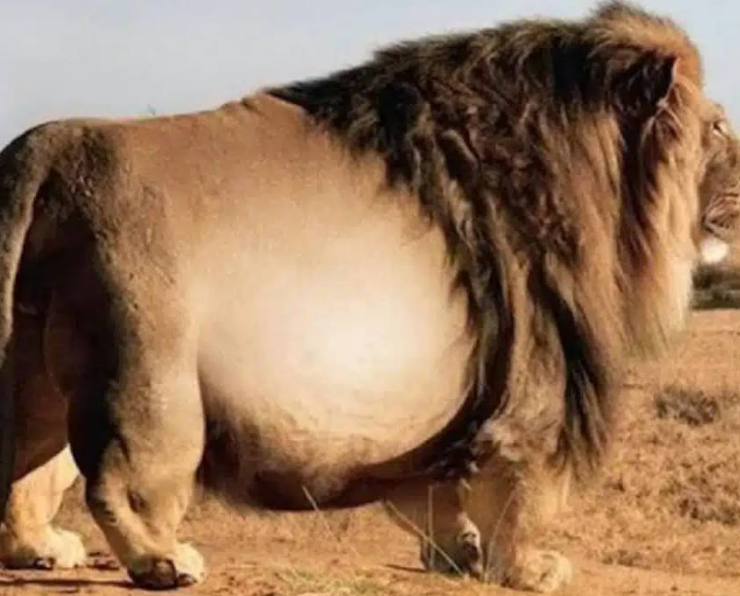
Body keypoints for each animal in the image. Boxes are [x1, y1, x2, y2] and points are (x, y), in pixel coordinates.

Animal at [1, 1, 739, 592]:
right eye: (718, 129)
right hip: (150, 371)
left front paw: (459, 553)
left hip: (34, 363)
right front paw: (528, 569)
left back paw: (41, 548)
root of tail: (43, 149)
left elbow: (435, 490)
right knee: (119, 483)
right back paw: (164, 561)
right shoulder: (538, 376)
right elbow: (518, 491)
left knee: (24, 464)